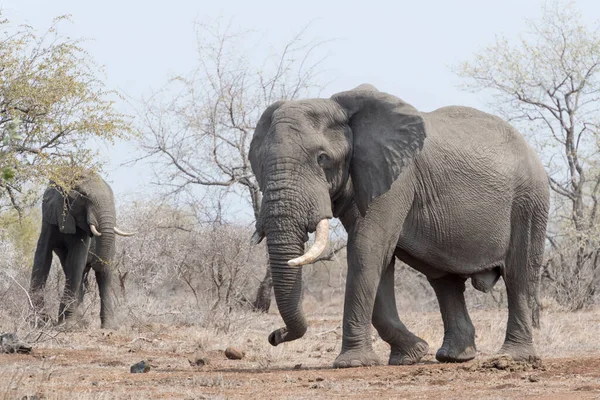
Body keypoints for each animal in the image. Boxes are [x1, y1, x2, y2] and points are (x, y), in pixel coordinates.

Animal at [29, 169, 135, 328]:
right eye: (84, 196)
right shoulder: (49, 217)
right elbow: (43, 256)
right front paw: (37, 322)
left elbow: (76, 259)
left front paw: (67, 324)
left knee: (103, 276)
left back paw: (108, 326)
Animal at [248, 84, 548, 368]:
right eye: (260, 162)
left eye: (322, 158)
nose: (274, 336)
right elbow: (379, 256)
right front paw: (412, 354)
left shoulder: (398, 178)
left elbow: (367, 248)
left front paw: (352, 363)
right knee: (444, 281)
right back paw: (454, 357)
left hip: (529, 201)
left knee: (519, 276)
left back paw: (514, 357)